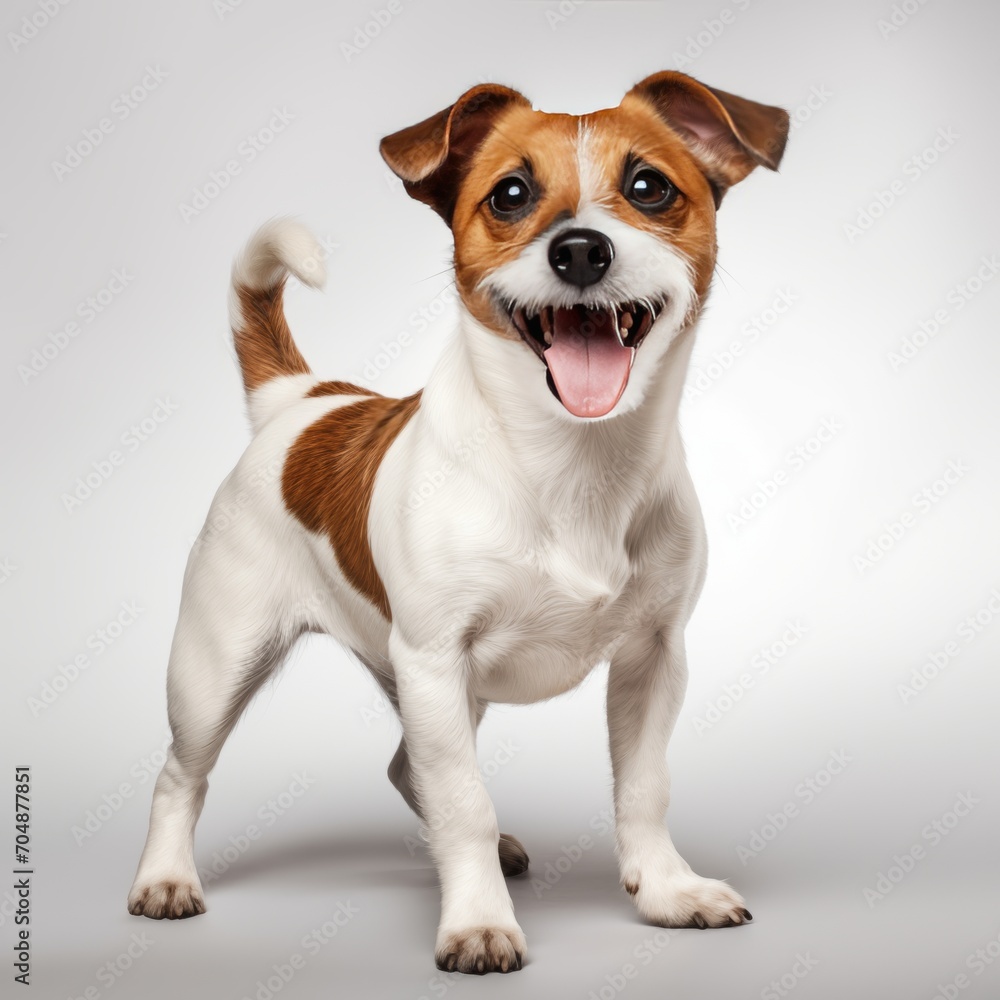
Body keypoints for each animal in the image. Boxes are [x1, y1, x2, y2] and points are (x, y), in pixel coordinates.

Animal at [129, 72, 788, 976]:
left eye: (650, 186)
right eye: (510, 195)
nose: (580, 250)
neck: (568, 463)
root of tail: (301, 400)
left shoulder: (653, 660)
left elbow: (641, 789)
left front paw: (665, 890)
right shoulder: (435, 660)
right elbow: (463, 804)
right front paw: (477, 922)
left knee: (411, 769)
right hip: (218, 666)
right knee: (181, 775)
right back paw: (165, 877)